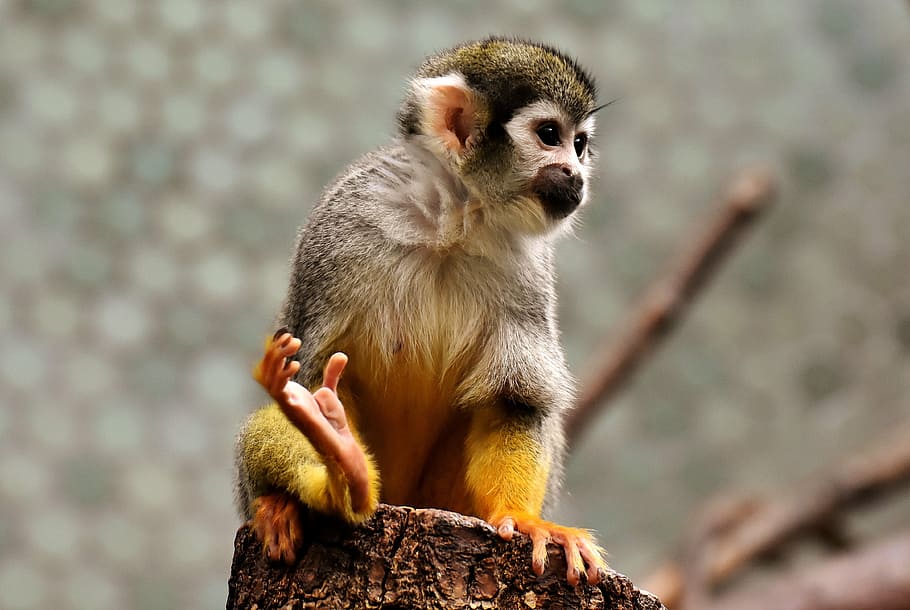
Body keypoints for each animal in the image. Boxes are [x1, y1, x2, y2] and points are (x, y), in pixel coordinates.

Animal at [235, 37, 607, 585]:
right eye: (549, 136)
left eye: (579, 144)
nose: (577, 176)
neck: (452, 219)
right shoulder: (341, 225)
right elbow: (306, 376)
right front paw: (328, 456)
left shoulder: (529, 269)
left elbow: (515, 399)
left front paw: (524, 519)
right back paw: (328, 484)